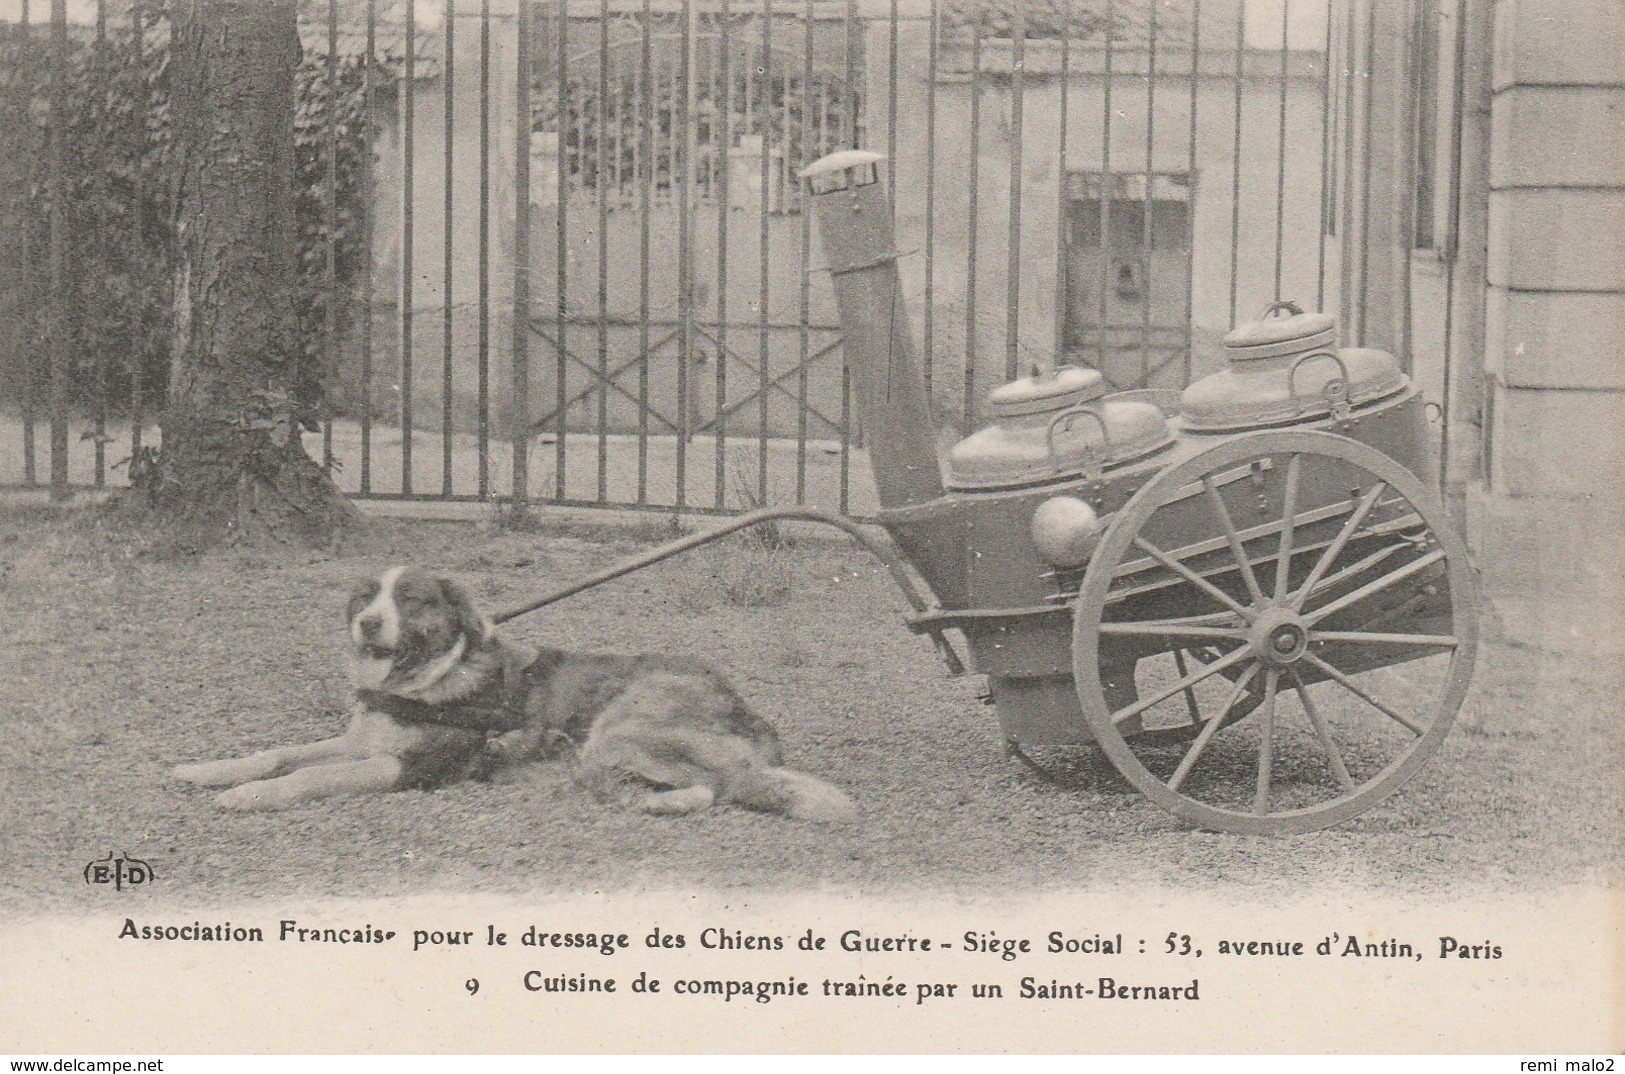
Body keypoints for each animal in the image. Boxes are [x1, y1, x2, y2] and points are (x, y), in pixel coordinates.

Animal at [174, 565, 864, 825]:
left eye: (412, 600)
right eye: (367, 597)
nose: (367, 623)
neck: (432, 680)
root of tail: (748, 709)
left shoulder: (416, 764)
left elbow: (311, 776)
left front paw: (250, 796)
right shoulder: (356, 740)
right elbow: (279, 754)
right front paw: (209, 770)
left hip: (620, 729)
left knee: (722, 787)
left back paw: (659, 803)